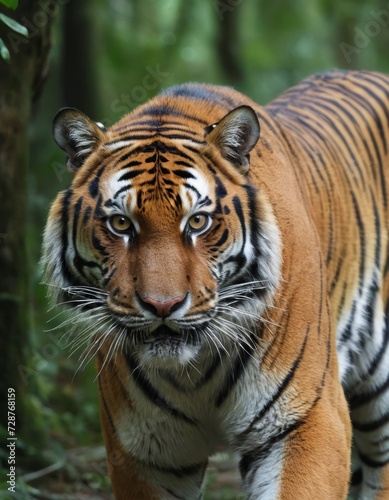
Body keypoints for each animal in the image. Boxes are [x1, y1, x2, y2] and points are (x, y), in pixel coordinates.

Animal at [42, 71, 388, 500]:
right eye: (120, 223)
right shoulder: (145, 453)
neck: (193, 372)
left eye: (197, 221)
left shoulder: (308, 418)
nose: (162, 305)